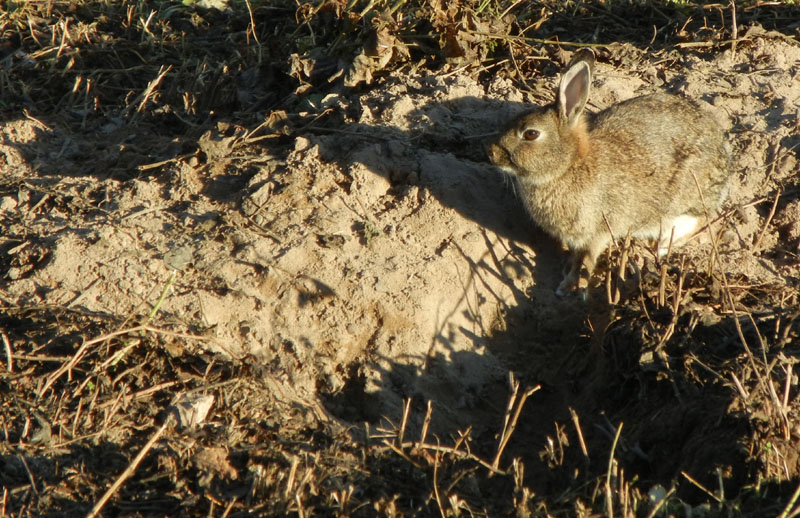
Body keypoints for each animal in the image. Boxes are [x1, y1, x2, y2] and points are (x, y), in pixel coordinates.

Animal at [484, 49, 736, 296]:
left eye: (531, 134)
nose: (491, 153)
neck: (568, 166)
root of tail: (722, 152)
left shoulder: (598, 231)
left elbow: (587, 259)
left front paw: (570, 287)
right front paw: (567, 270)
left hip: (685, 198)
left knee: (698, 220)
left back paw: (663, 246)